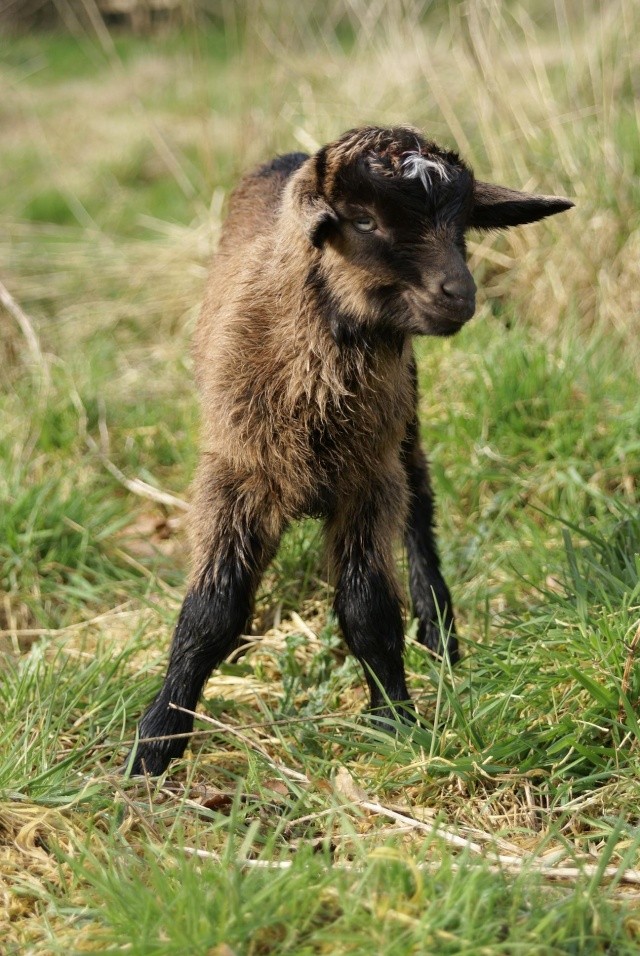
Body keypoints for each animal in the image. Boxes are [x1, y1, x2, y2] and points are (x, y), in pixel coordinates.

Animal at [129, 125, 568, 776]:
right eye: (362, 221)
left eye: (462, 225)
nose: (460, 294)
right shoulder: (235, 473)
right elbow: (210, 611)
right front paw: (155, 745)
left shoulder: (368, 479)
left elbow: (368, 611)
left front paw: (397, 722)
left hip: (404, 420)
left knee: (419, 506)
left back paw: (439, 633)